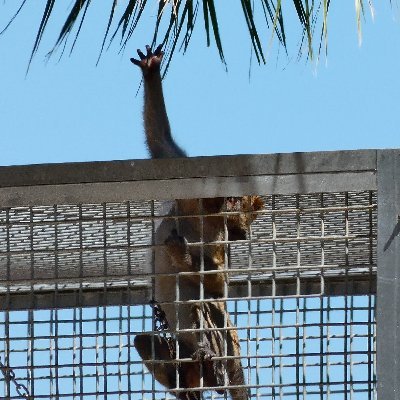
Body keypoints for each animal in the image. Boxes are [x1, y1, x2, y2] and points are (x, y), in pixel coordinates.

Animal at [132, 44, 262, 400]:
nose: (241, 231)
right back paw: (188, 382)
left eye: (234, 201)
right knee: (145, 340)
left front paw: (185, 257)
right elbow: (161, 142)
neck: (199, 210)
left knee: (203, 302)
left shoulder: (218, 228)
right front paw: (151, 70)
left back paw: (210, 367)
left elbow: (218, 285)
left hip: (222, 341)